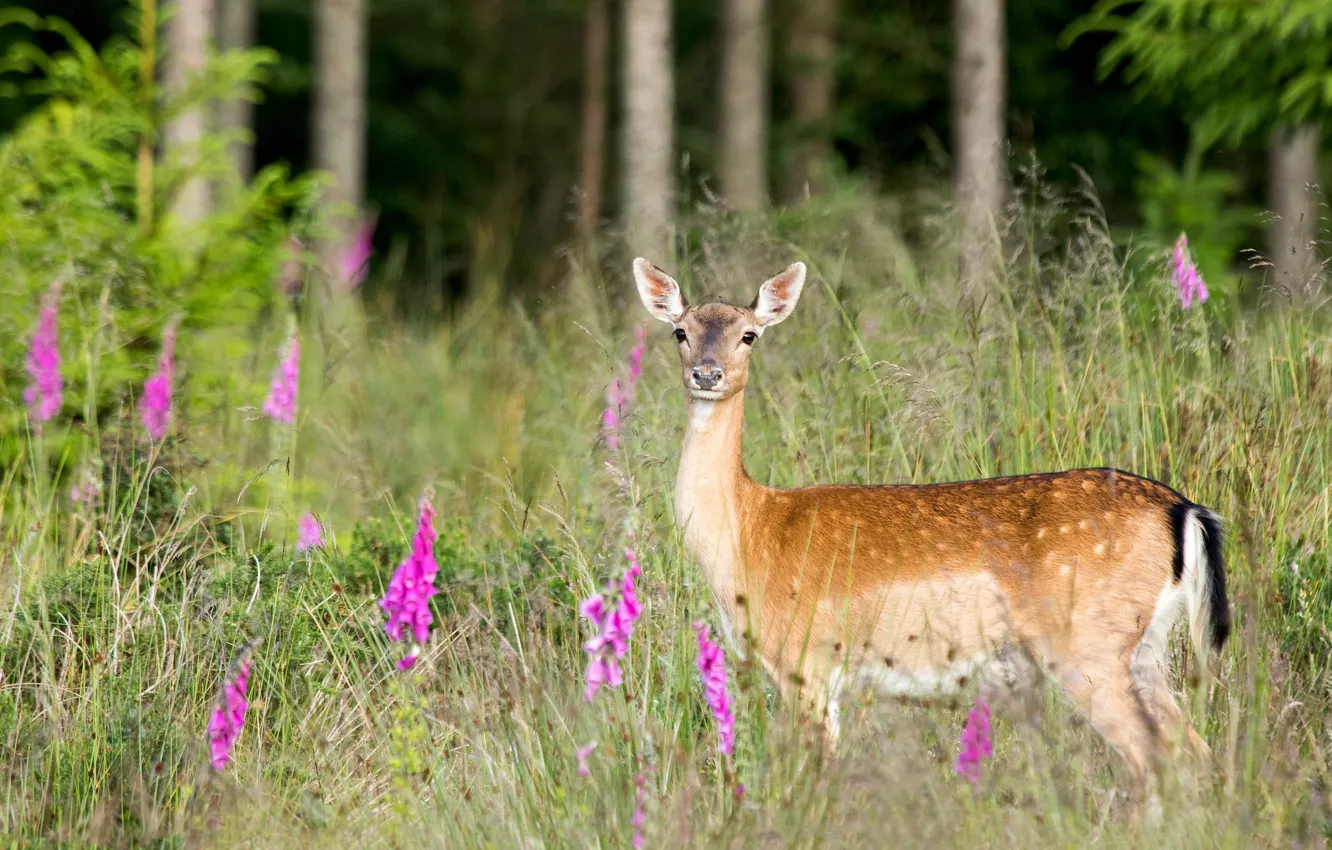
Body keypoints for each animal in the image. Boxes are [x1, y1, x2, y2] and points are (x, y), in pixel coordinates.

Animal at [628, 258, 1230, 810]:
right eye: (680, 331)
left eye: (749, 334)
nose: (707, 374)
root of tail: (1184, 509)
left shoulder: (806, 662)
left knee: (1152, 759)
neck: (749, 536)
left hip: (1087, 645)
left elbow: (818, 780)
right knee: (1192, 752)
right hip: (1144, 649)